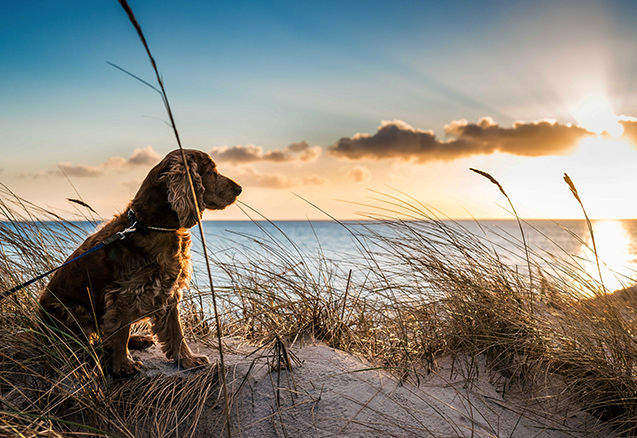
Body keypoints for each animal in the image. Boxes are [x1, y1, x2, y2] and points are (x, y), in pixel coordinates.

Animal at [38, 149, 241, 374]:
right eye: (212, 171)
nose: (239, 189)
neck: (151, 226)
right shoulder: (126, 293)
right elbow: (120, 332)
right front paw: (123, 365)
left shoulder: (169, 289)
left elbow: (176, 331)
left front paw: (188, 359)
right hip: (73, 311)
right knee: (86, 344)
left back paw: (138, 340)